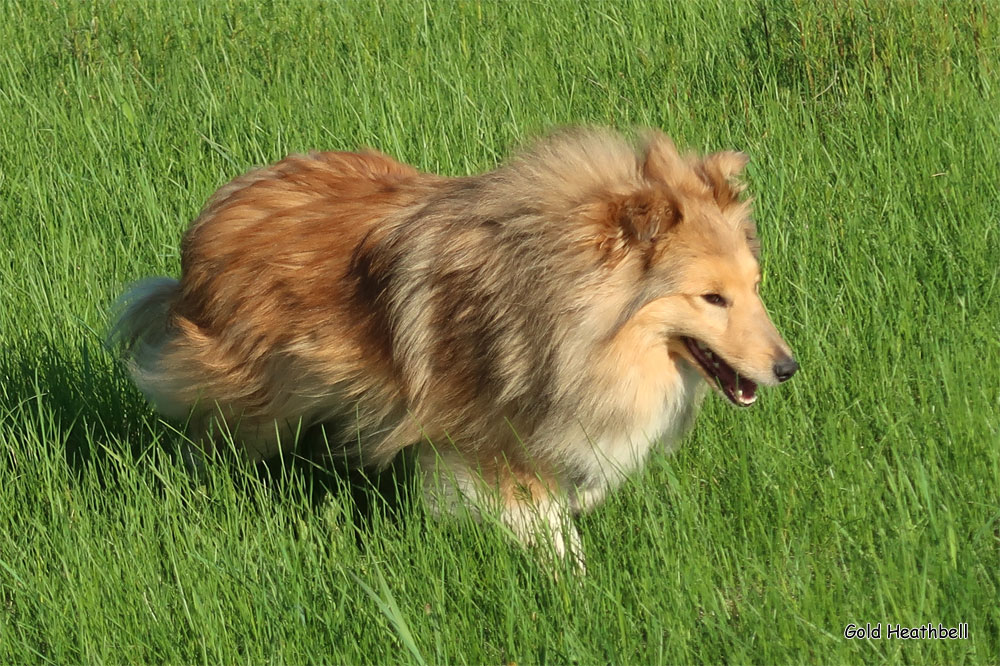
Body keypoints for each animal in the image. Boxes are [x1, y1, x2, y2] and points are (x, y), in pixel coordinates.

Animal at [109, 128, 796, 564]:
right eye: (712, 298)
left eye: (753, 287)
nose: (787, 368)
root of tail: (216, 211)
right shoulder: (480, 435)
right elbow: (537, 517)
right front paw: (568, 572)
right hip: (254, 391)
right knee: (214, 436)